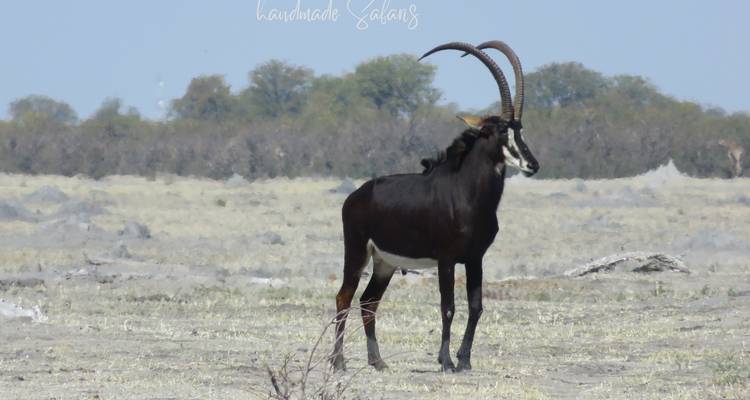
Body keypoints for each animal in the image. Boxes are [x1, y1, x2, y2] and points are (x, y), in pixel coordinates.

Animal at [332, 41, 539, 372]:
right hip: (357, 252)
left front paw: (464, 360)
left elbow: (476, 307)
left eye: (519, 129)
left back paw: (378, 362)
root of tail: (356, 196)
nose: (532, 164)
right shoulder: (446, 259)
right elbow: (448, 307)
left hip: (384, 263)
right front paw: (446, 361)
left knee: (368, 302)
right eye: (497, 132)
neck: (469, 196)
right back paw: (338, 362)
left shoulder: (475, 258)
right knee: (344, 298)